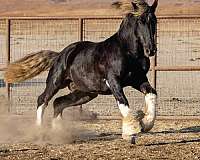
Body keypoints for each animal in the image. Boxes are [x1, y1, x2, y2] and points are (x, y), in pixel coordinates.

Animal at [4, 0, 158, 142]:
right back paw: (40, 132)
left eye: (154, 21)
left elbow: (152, 93)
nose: (151, 50)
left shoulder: (139, 79)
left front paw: (146, 124)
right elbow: (123, 103)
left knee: (58, 102)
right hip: (56, 82)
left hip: (86, 93)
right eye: (140, 21)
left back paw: (58, 132)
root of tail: (60, 55)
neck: (127, 52)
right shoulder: (114, 81)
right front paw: (131, 132)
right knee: (43, 99)